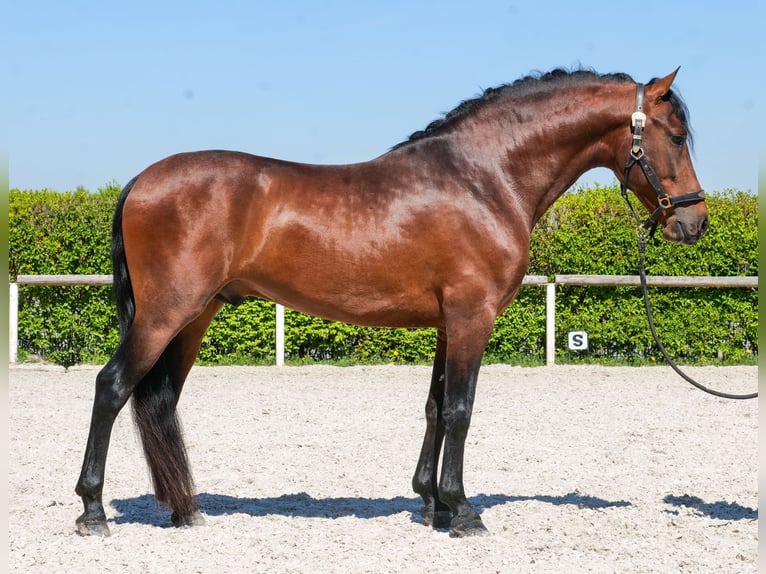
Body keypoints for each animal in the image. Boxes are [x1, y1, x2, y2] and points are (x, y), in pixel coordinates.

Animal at [75, 68, 708, 538]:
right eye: (676, 136)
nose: (695, 222)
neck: (484, 178)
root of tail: (141, 180)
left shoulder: (450, 322)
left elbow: (435, 407)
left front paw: (432, 504)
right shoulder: (473, 316)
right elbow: (461, 409)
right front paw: (464, 511)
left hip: (194, 317)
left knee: (161, 399)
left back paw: (185, 511)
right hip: (167, 314)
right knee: (113, 387)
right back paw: (93, 511)